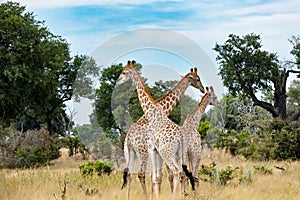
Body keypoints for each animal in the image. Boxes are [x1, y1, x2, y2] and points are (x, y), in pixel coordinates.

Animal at [116, 60, 205, 198]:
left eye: (124, 72)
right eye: (198, 79)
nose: (202, 88)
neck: (161, 107)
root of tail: (129, 138)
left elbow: (158, 176)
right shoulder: (155, 149)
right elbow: (159, 176)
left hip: (129, 153)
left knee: (130, 174)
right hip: (142, 153)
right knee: (143, 174)